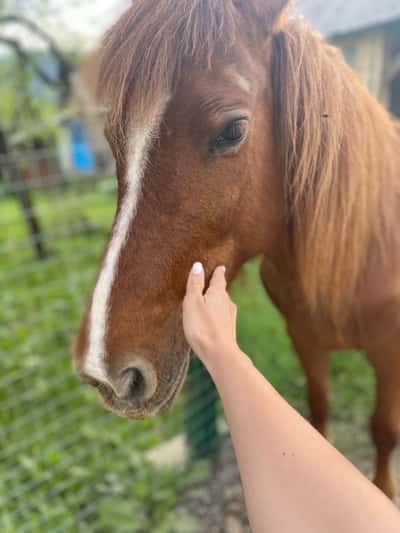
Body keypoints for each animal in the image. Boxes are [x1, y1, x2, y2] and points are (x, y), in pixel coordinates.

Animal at [73, 0, 400, 498]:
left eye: (233, 130)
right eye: (113, 138)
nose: (101, 369)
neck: (361, 248)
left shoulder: (389, 354)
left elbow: (383, 430)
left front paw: (383, 490)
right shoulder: (305, 341)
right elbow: (319, 411)